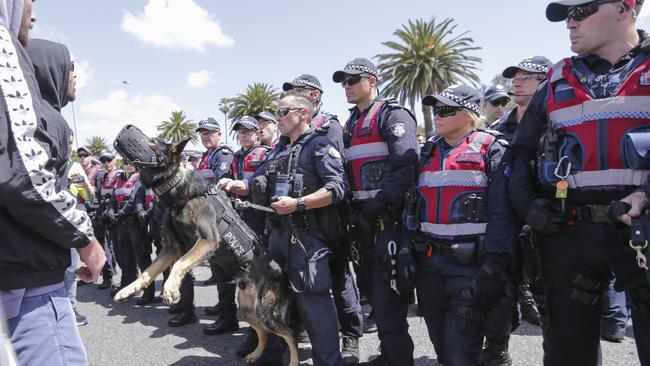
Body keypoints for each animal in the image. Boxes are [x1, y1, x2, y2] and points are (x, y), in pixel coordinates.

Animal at [112, 126, 302, 366]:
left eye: (152, 141)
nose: (125, 127)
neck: (177, 186)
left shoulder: (206, 241)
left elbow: (179, 265)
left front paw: (170, 289)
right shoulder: (171, 248)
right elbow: (148, 271)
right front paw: (128, 289)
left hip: (266, 313)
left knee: (290, 335)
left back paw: (291, 360)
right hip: (248, 310)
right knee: (264, 333)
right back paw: (255, 354)